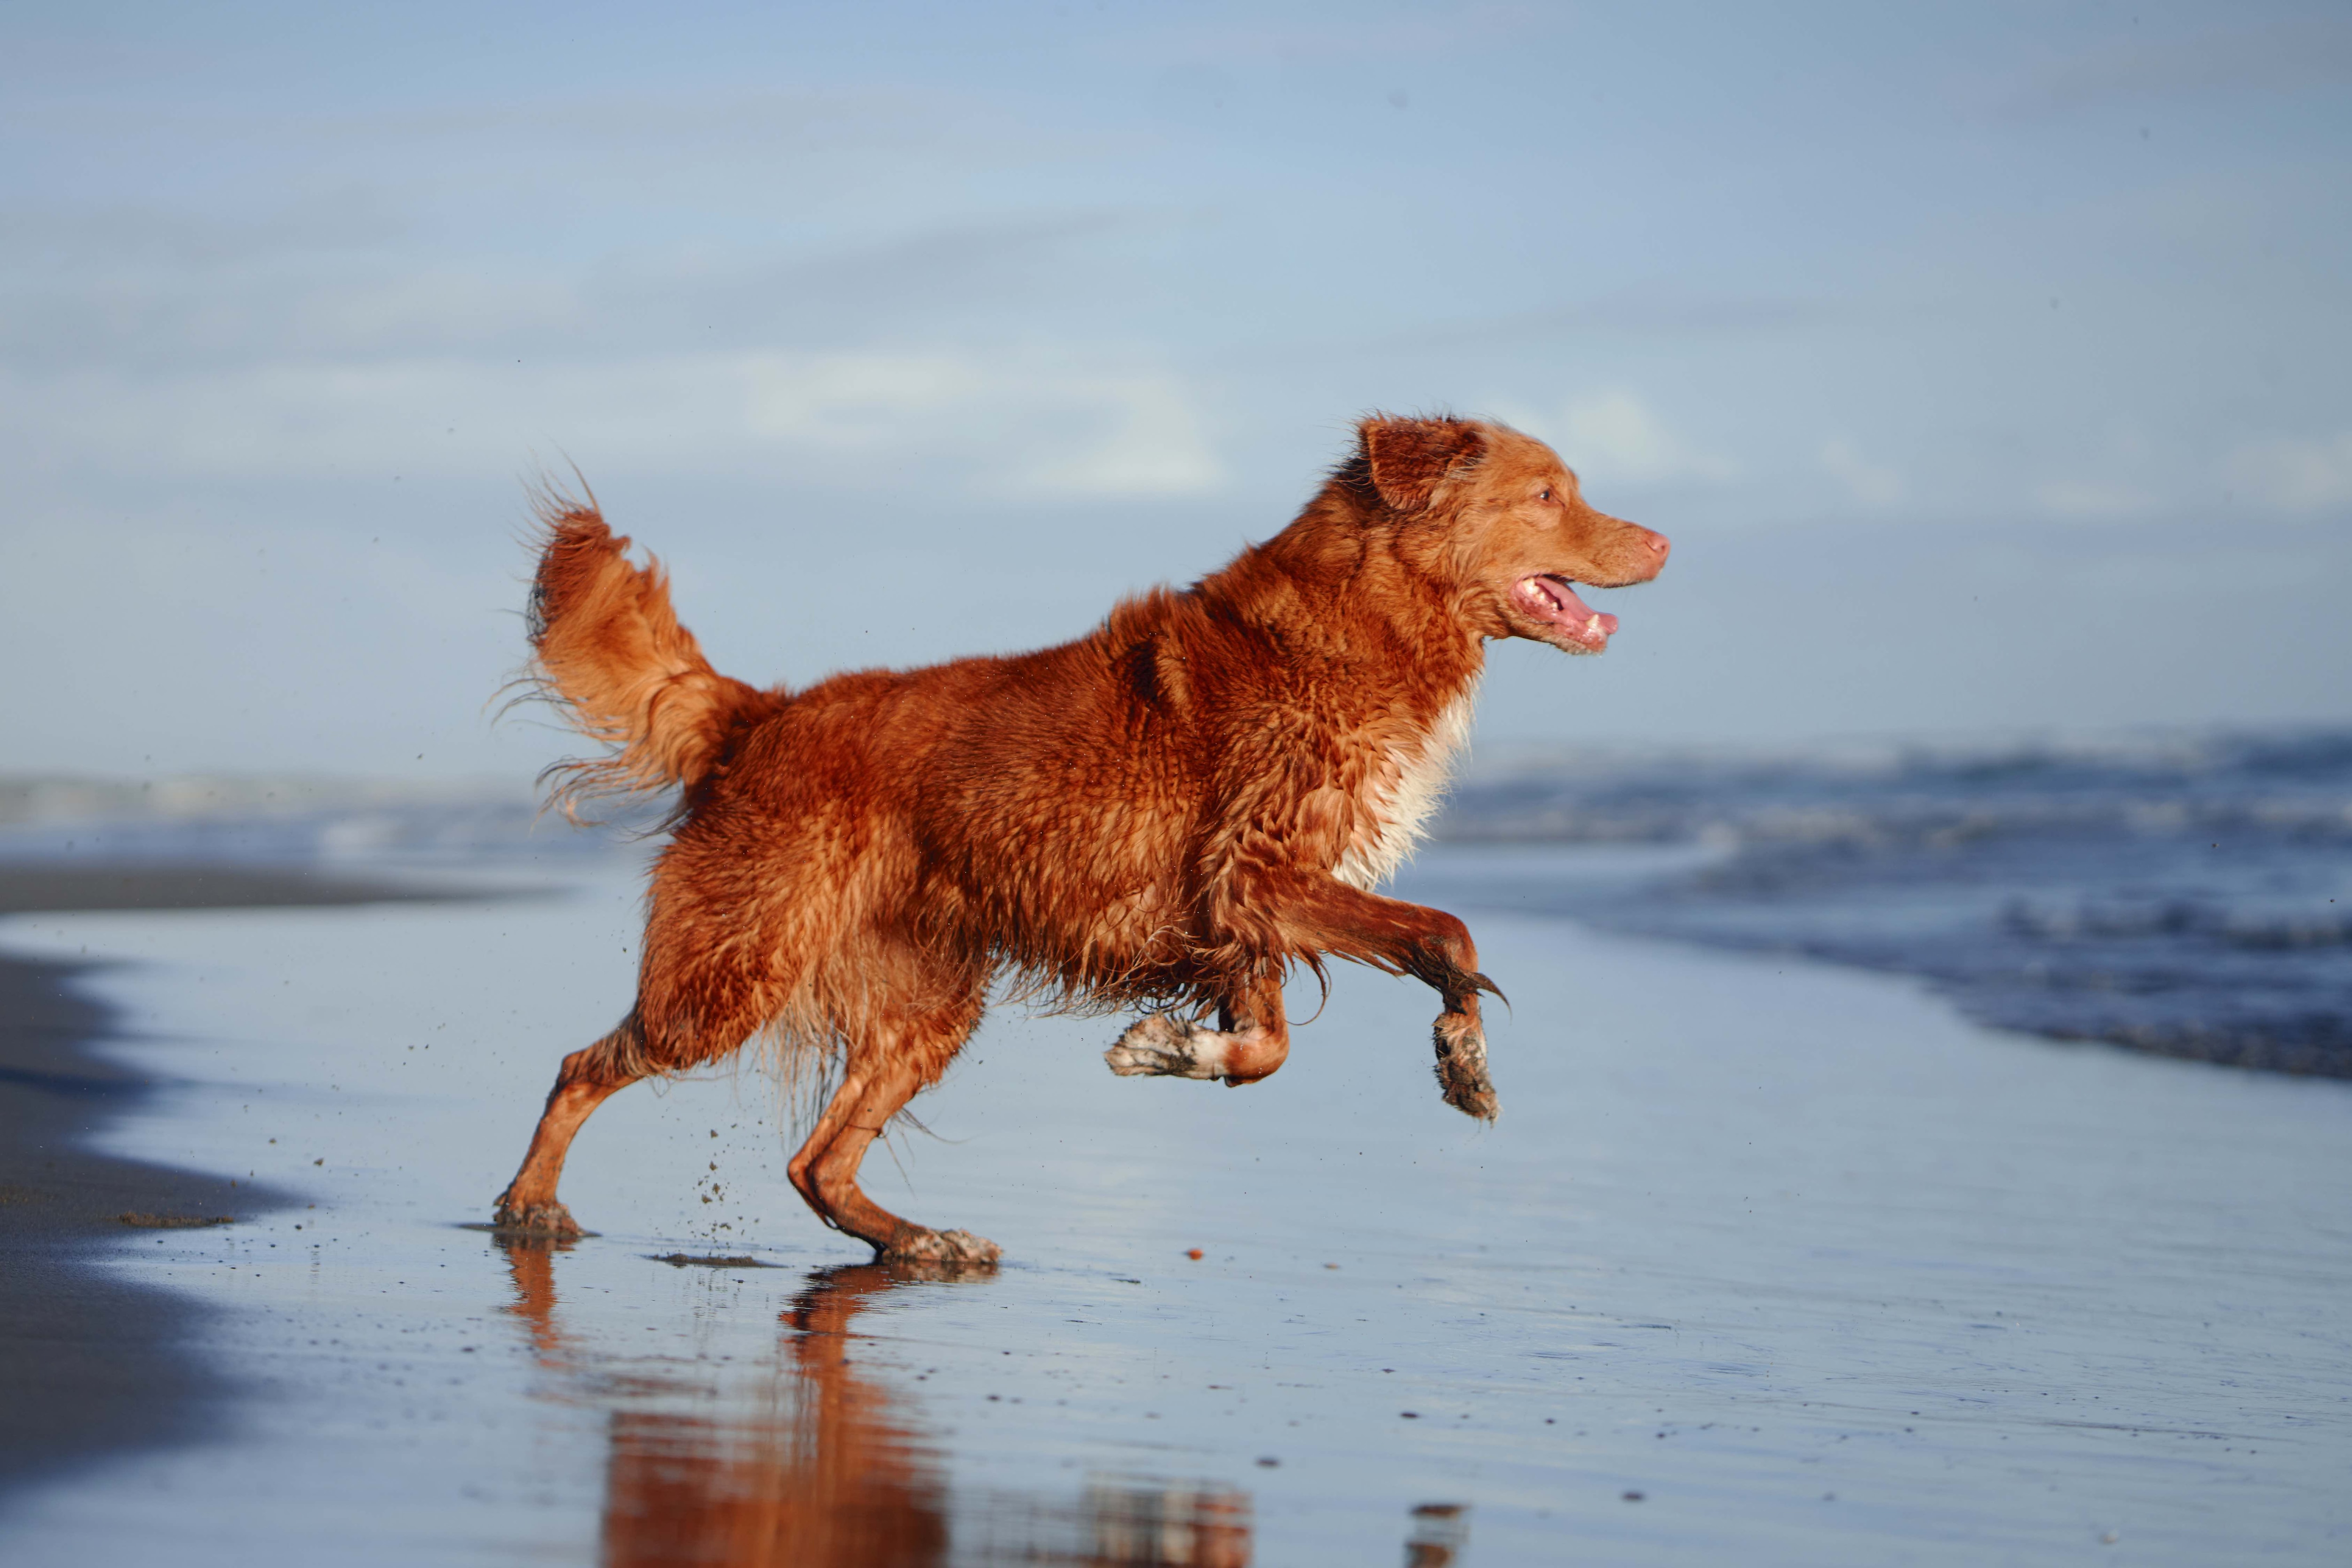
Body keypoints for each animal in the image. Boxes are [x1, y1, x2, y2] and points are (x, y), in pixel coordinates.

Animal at [496, 414, 1675, 1260]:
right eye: (1548, 494)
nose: (1665, 538)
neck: (1364, 621)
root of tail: (761, 714)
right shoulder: (1257, 874)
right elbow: (1449, 931)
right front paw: (1461, 1056)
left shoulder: (1235, 913)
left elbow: (1273, 1044)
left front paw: (1178, 1048)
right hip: (735, 967)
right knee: (581, 1066)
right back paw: (529, 1204)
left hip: (925, 1002)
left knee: (816, 1164)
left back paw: (917, 1241)